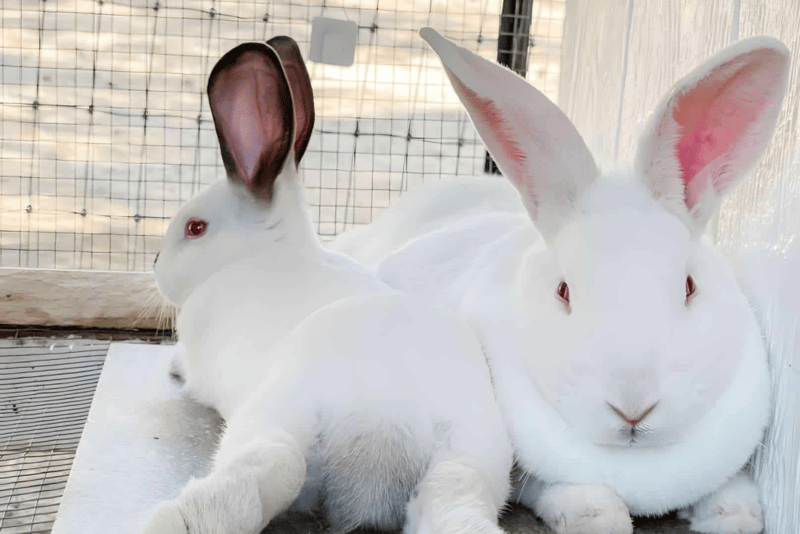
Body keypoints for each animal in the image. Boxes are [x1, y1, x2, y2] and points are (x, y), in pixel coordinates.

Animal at [141, 37, 513, 534]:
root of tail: (382, 430)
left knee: (272, 465)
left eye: (195, 228)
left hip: (276, 414)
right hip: (473, 455)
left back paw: (170, 519)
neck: (262, 255)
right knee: (452, 495)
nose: (156, 264)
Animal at [350, 28, 791, 534]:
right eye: (563, 292)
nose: (633, 407)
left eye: (689, 286)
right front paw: (598, 516)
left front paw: (732, 515)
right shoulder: (530, 473)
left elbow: (733, 494)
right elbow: (563, 491)